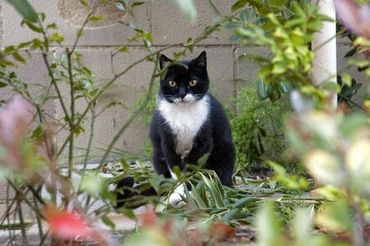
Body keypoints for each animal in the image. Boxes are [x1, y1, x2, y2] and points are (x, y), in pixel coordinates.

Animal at [150, 51, 234, 186]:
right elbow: (174, 166)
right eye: (172, 83)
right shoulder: (166, 138)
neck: (184, 112)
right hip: (157, 156)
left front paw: (191, 185)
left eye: (192, 82)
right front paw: (179, 186)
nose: (182, 94)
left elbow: (193, 165)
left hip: (227, 150)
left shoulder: (204, 137)